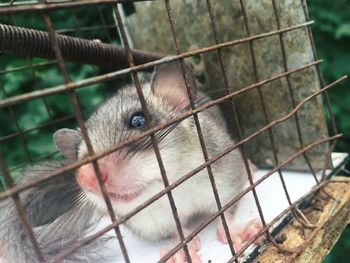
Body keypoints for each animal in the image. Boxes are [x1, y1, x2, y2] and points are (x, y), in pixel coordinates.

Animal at [54, 61, 262, 262]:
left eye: (138, 120)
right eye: (78, 156)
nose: (85, 178)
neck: (175, 187)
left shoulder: (225, 176)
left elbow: (225, 210)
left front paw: (238, 231)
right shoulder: (153, 222)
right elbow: (175, 232)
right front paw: (180, 253)